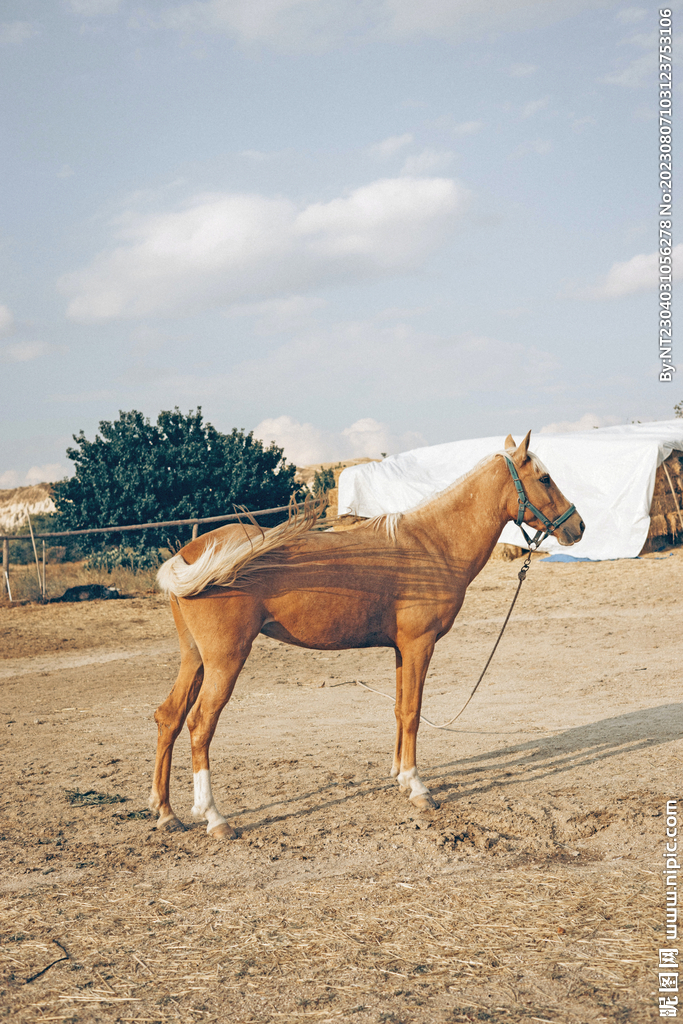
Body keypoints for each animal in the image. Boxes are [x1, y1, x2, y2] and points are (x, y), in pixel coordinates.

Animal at [150, 432, 584, 839]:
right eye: (545, 478)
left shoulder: (401, 650)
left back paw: (166, 812)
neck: (434, 544)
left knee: (169, 717)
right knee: (200, 725)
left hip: (195, 658)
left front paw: (401, 778)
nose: (578, 526)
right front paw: (418, 788)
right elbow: (413, 712)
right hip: (225, 660)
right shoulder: (419, 645)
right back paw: (214, 818)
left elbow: (399, 709)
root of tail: (189, 552)